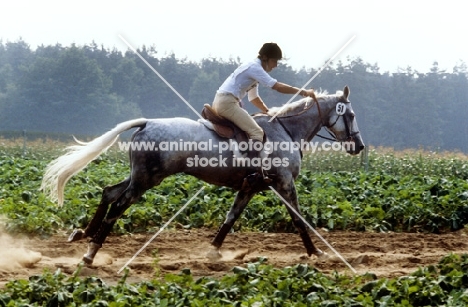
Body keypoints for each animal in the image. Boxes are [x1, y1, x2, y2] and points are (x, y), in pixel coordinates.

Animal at [40, 85, 364, 266]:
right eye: (349, 114)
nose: (358, 146)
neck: (286, 131)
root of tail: (146, 123)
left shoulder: (251, 186)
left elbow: (230, 218)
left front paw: (213, 252)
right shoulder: (285, 183)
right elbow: (298, 219)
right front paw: (316, 252)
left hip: (139, 176)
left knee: (109, 192)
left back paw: (82, 234)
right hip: (147, 180)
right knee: (119, 205)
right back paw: (91, 252)